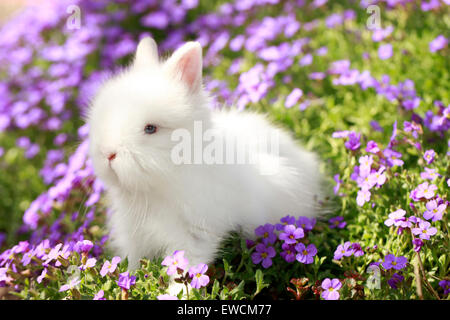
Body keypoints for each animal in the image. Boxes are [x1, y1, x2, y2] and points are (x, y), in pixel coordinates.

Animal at [88, 38, 326, 278]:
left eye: (150, 128)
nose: (108, 153)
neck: (158, 187)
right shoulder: (134, 237)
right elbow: (134, 261)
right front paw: (128, 277)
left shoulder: (195, 234)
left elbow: (185, 266)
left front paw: (176, 287)